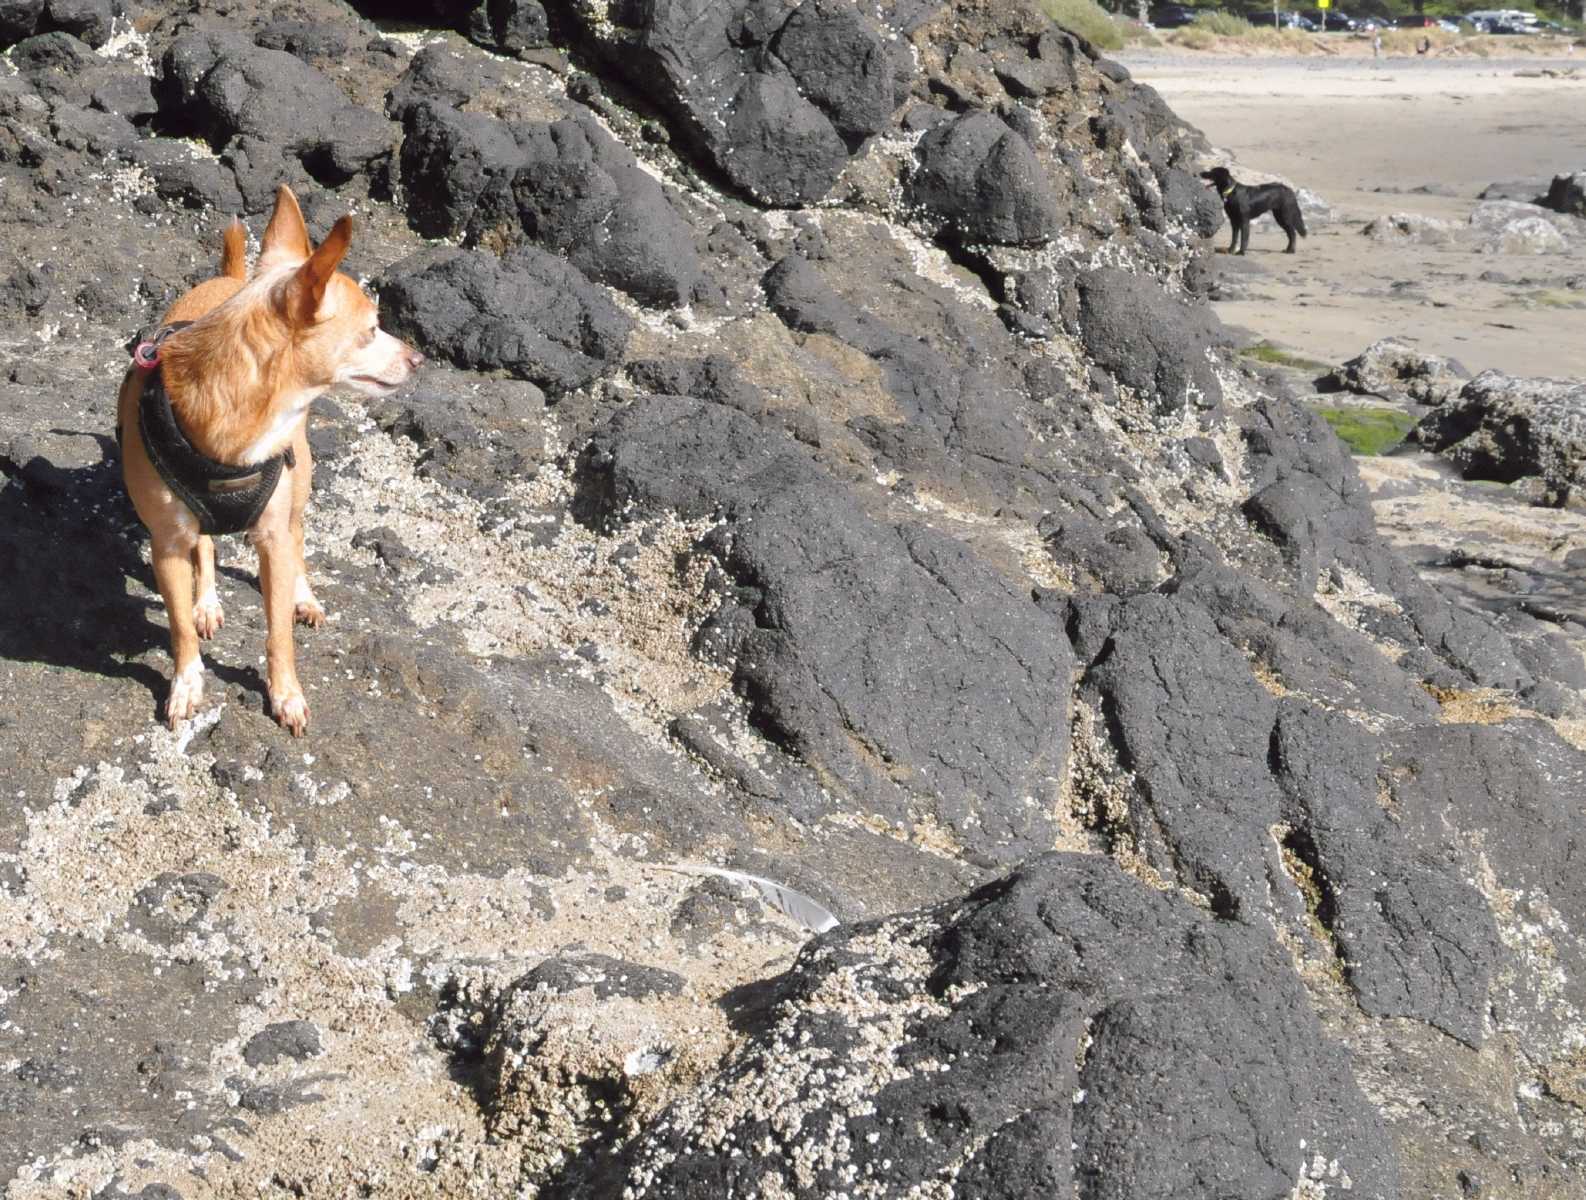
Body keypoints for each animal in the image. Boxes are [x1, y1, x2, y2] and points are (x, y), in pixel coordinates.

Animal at [118, 188, 425, 735]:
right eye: (372, 330)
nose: (419, 360)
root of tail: (231, 276)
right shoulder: (166, 545)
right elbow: (178, 625)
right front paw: (187, 682)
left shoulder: (273, 537)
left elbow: (278, 630)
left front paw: (285, 694)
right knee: (205, 548)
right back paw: (207, 602)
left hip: (297, 487)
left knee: (298, 537)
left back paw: (303, 596)